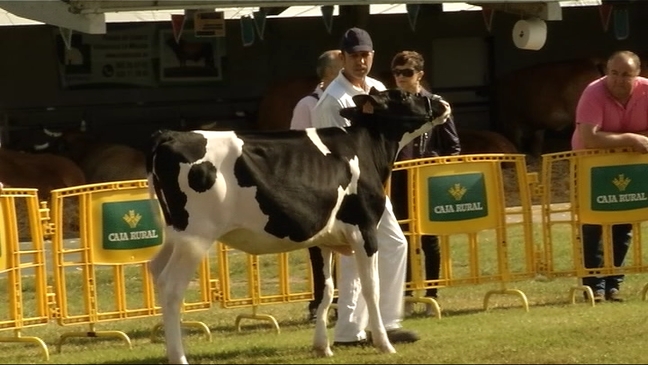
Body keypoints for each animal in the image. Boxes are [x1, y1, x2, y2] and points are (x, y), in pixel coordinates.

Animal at [147, 87, 450, 362]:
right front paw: (384, 343)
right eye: (404, 95)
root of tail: (171, 135)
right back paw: (179, 357)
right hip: (196, 237)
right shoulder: (364, 228)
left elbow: (326, 290)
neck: (364, 148)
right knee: (171, 286)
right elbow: (370, 287)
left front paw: (322, 346)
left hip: (175, 235)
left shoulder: (322, 239)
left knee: (156, 272)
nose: (442, 102)